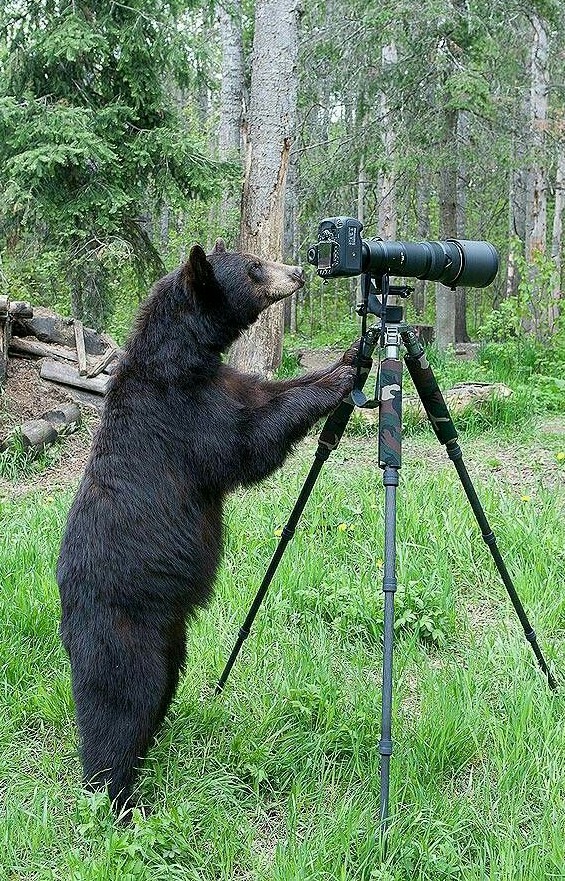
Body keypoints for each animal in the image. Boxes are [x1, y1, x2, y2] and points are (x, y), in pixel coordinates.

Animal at [57, 239, 356, 812]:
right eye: (255, 267)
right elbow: (247, 441)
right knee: (118, 706)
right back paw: (117, 795)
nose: (298, 270)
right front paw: (339, 378)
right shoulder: (186, 416)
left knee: (158, 690)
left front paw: (349, 356)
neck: (182, 360)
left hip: (171, 634)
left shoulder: (222, 382)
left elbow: (264, 396)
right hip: (123, 631)